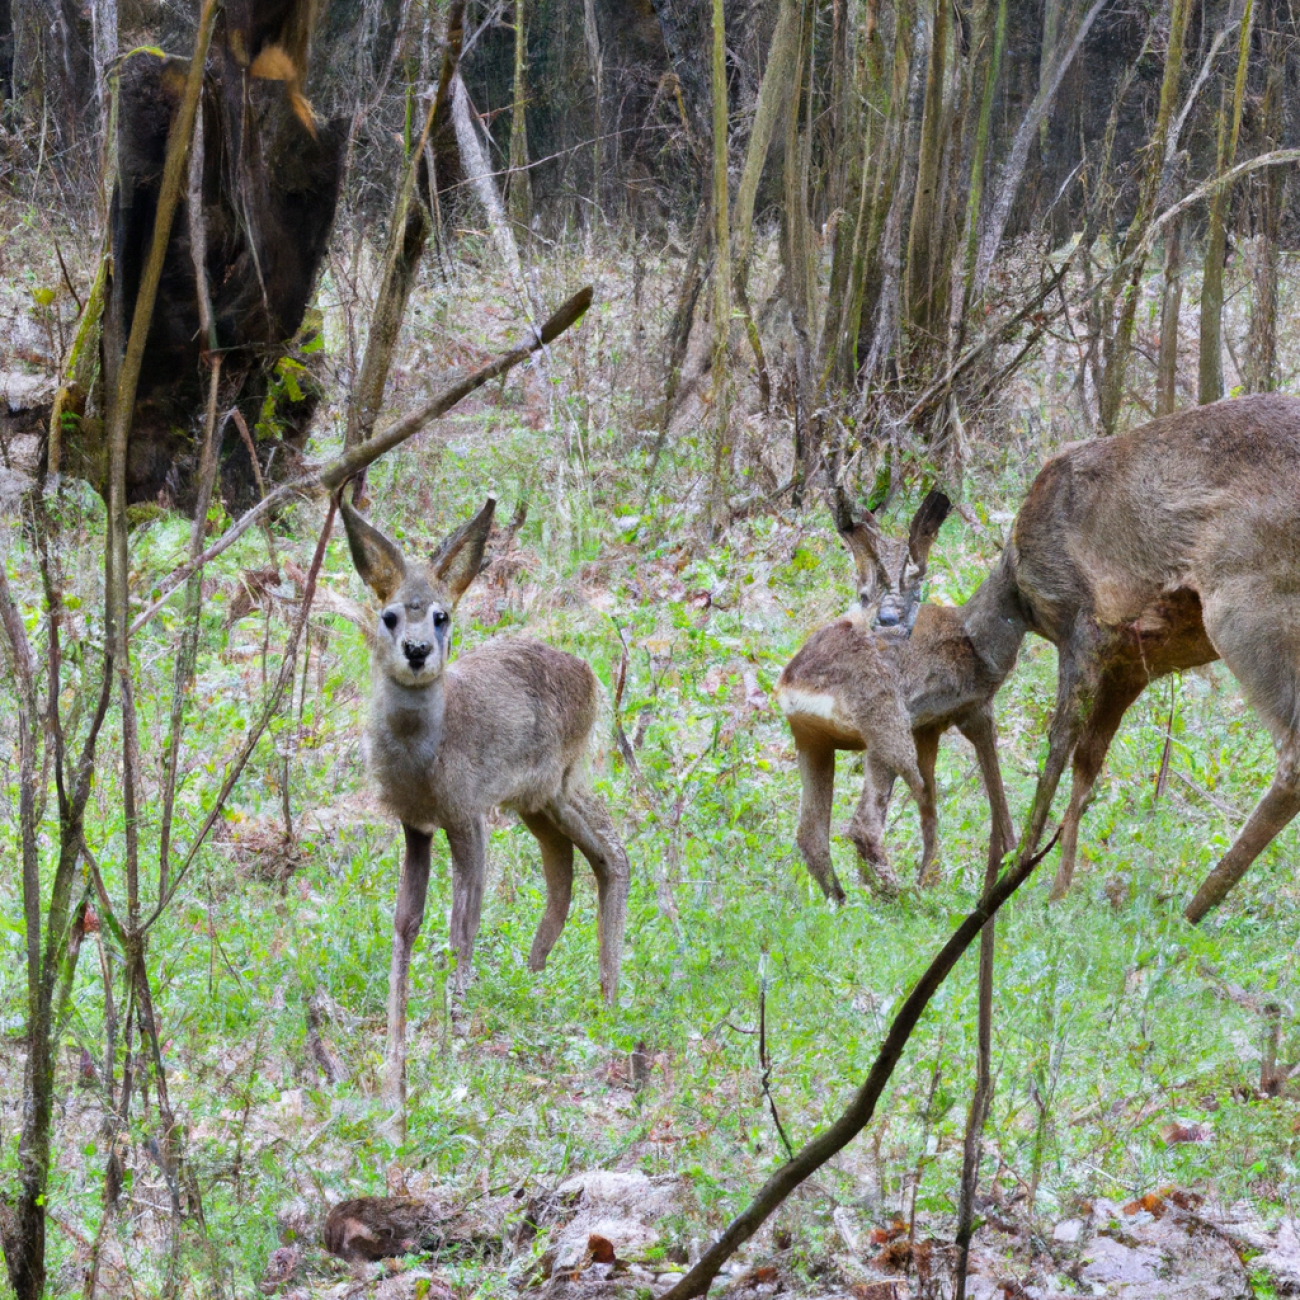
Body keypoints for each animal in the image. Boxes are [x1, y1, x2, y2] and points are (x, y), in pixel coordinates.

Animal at [340, 491, 629, 1102]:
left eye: (442, 615)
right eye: (389, 615)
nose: (418, 650)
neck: (425, 760)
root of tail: (594, 677)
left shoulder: (467, 811)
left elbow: (462, 924)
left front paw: (452, 1047)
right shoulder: (416, 823)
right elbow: (406, 923)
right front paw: (395, 1069)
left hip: (565, 776)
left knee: (613, 853)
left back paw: (608, 998)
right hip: (532, 800)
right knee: (567, 864)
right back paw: (538, 976)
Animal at [774, 488, 1019, 904]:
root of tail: (794, 684)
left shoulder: (929, 726)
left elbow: (934, 802)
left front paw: (934, 878)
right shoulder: (970, 709)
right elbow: (981, 788)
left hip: (813, 740)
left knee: (811, 834)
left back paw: (846, 899)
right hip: (883, 727)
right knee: (865, 824)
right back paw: (898, 895)